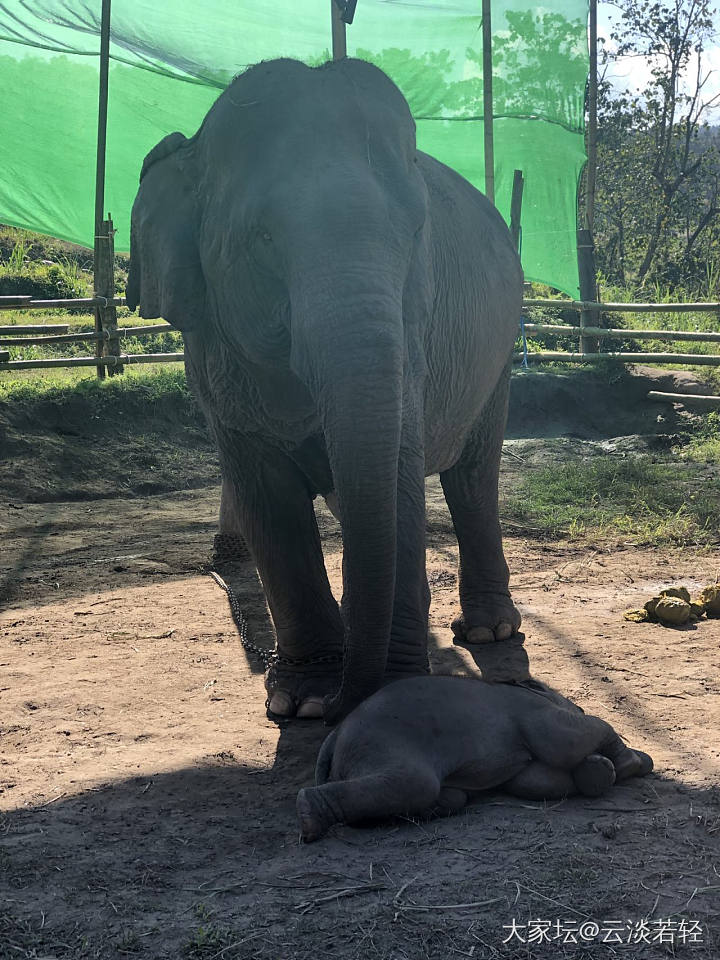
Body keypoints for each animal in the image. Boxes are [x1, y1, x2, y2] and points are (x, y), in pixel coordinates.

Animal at [126, 56, 524, 724]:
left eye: (415, 233)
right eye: (261, 238)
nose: (344, 702)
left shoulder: (415, 339)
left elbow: (398, 472)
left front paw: (395, 687)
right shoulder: (211, 356)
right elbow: (268, 501)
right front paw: (302, 700)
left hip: (500, 356)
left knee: (473, 476)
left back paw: (489, 631)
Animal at [296, 676, 652, 840]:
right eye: (576, 706)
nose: (577, 706)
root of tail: (334, 736)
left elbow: (535, 781)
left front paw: (600, 771)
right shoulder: (532, 710)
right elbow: (562, 742)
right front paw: (634, 764)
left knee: (439, 796)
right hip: (381, 744)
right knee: (415, 784)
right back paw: (309, 819)